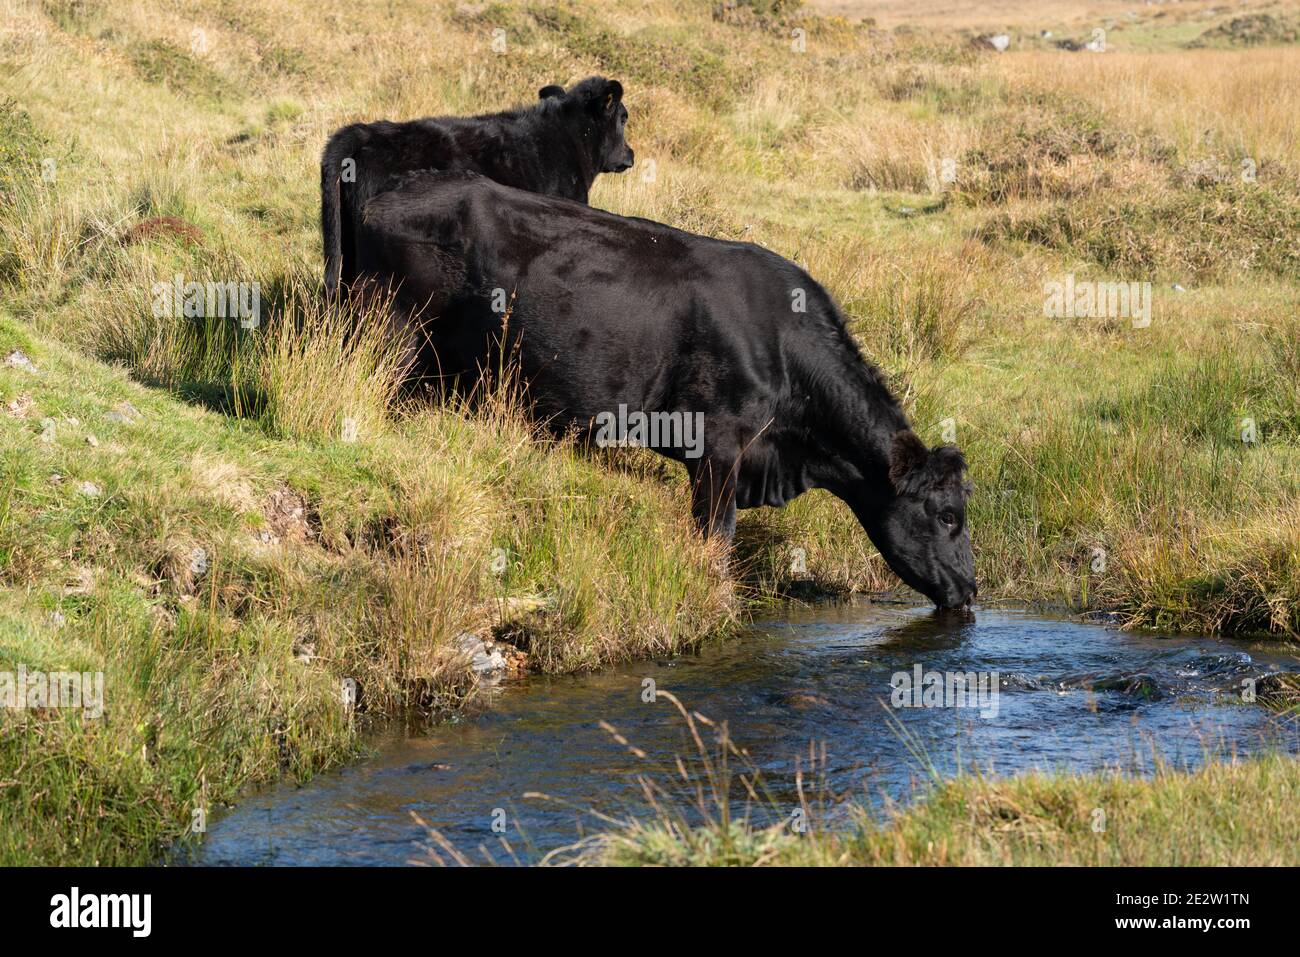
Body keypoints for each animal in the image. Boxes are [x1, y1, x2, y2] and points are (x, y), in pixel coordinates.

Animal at [356, 170, 977, 605]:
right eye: (949, 515)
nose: (971, 590)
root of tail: (389, 192)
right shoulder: (718, 448)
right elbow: (716, 540)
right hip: (391, 331)